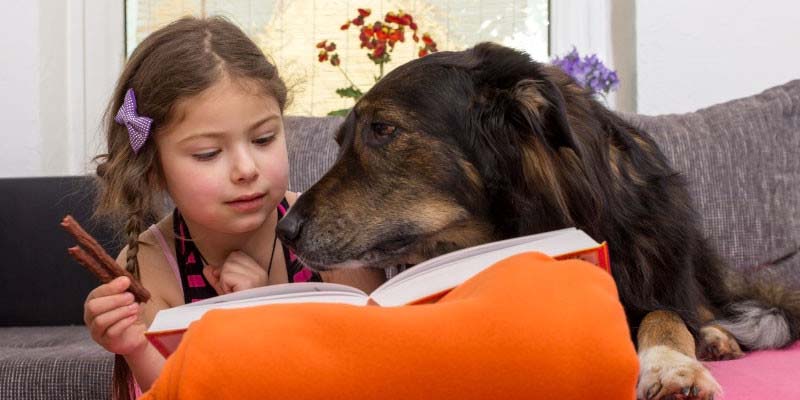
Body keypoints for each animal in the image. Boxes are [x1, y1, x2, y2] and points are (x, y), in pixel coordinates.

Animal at [276, 42, 800, 398]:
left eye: (383, 129)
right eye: (341, 139)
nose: (284, 230)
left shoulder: (653, 271)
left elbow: (665, 314)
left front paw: (672, 366)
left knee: (704, 304)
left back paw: (714, 337)